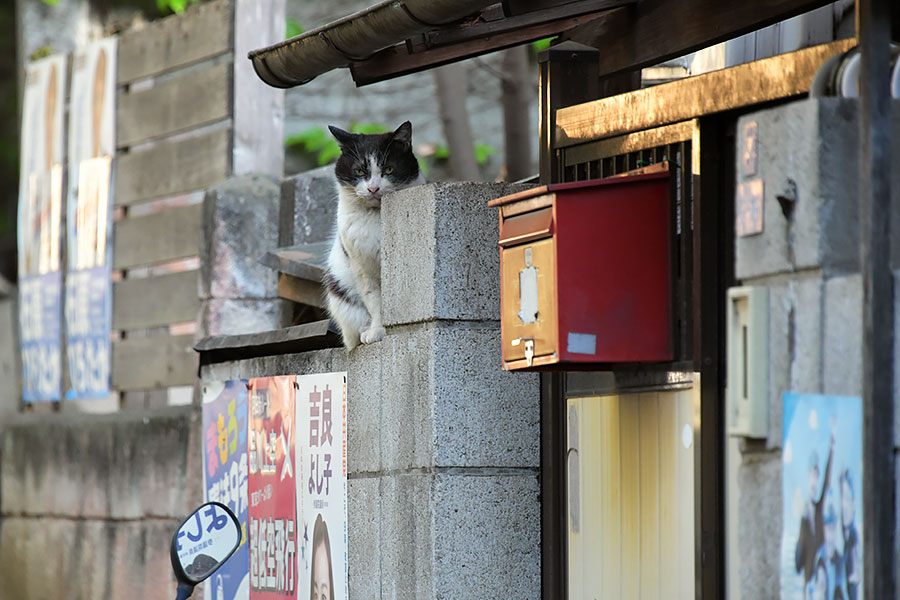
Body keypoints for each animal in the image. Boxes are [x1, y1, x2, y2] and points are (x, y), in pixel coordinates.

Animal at [322, 119, 424, 350]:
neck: (375, 217)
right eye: (360, 171)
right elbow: (375, 301)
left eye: (388, 169)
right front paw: (377, 331)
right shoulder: (362, 268)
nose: (373, 188)